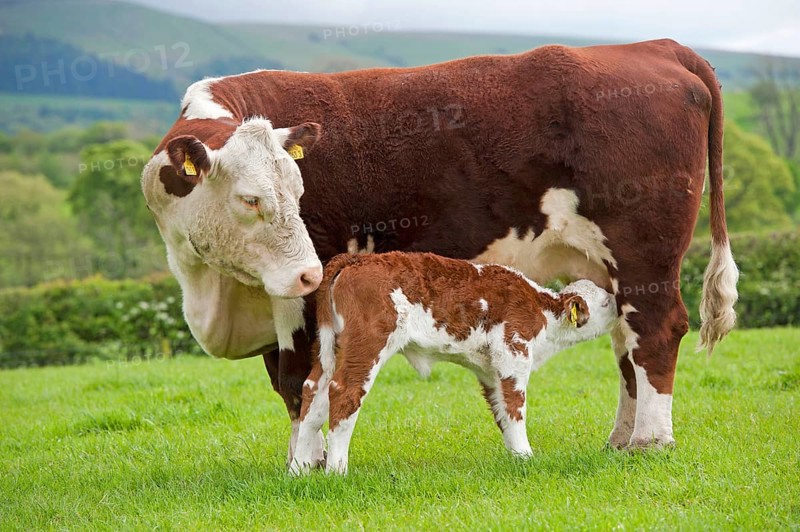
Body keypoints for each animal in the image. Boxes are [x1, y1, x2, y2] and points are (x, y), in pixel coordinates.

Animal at [290, 252, 619, 475]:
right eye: (604, 302)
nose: (620, 304)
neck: (543, 314)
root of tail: (356, 259)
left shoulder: (490, 370)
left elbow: (501, 412)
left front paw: (517, 457)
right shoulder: (513, 355)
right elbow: (515, 408)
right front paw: (528, 456)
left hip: (330, 346)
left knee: (313, 393)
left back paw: (299, 470)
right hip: (367, 343)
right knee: (344, 393)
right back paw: (336, 470)